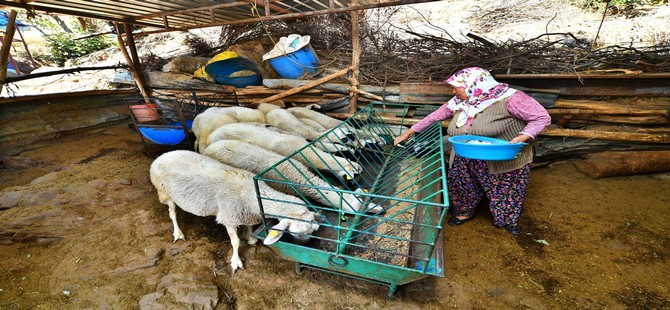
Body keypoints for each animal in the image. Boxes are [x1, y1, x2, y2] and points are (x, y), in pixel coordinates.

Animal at [150, 151, 322, 272]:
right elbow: (236, 242)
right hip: (164, 192)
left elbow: (249, 226)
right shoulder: (229, 218)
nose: (305, 246)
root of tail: (163, 155)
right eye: (294, 233)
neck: (251, 194)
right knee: (172, 213)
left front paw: (251, 238)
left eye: (313, 230)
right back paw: (178, 233)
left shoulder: (246, 214)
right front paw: (236, 262)